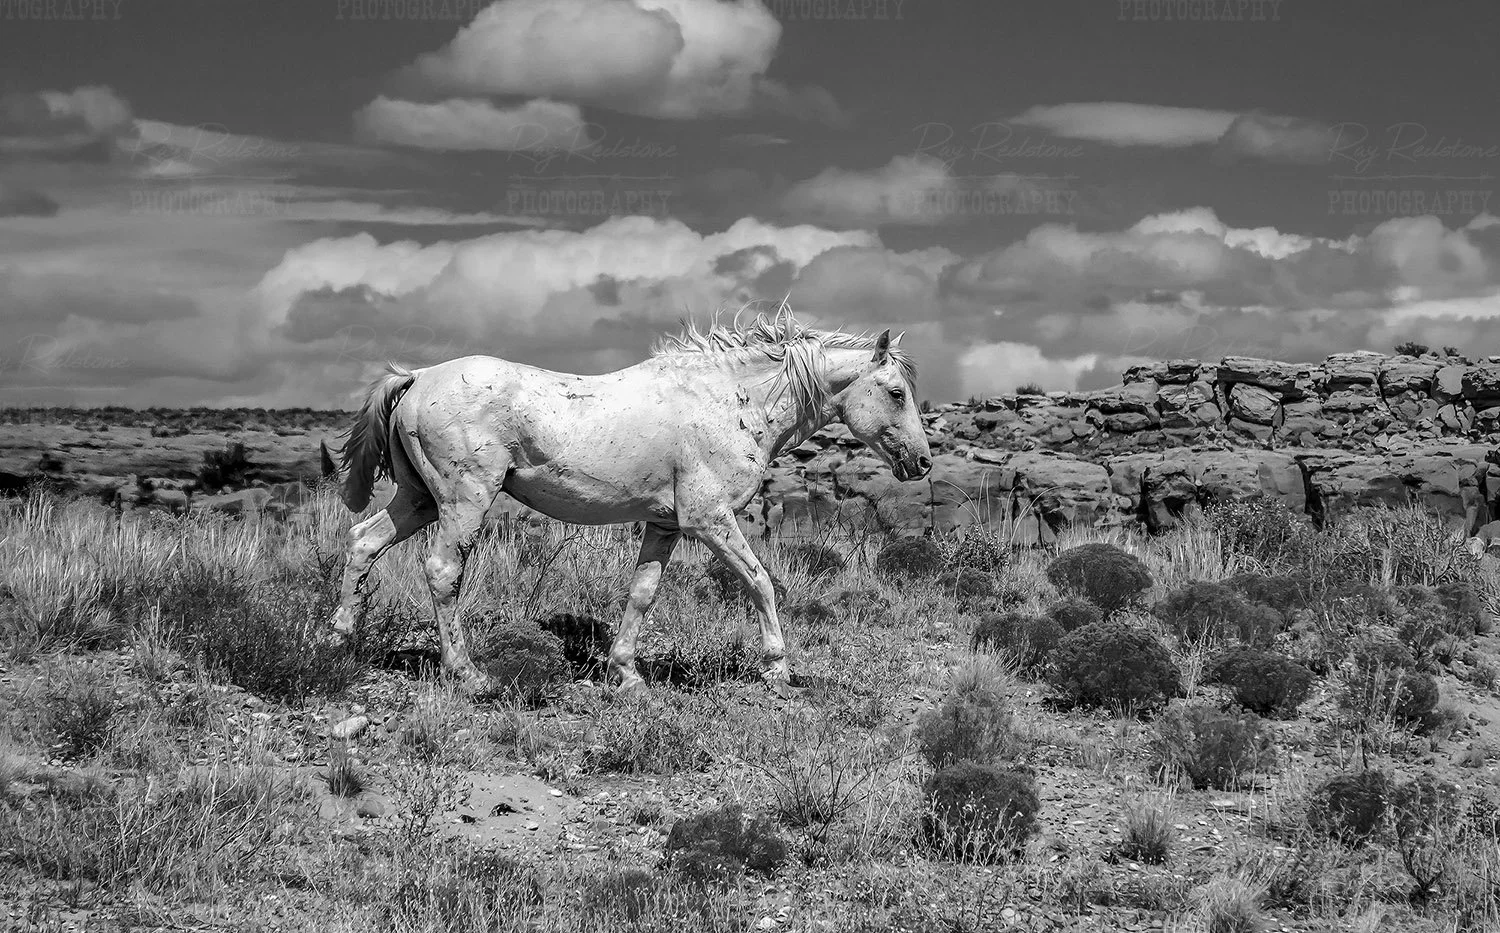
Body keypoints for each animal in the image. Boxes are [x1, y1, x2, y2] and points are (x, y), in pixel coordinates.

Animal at [326, 307, 933, 695]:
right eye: (895, 393)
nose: (923, 463)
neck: (733, 401)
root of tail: (418, 376)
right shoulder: (709, 520)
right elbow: (761, 581)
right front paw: (778, 670)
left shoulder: (666, 526)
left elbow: (642, 595)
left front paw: (628, 676)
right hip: (464, 501)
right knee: (442, 570)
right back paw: (468, 674)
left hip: (419, 500)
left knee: (362, 544)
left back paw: (341, 641)